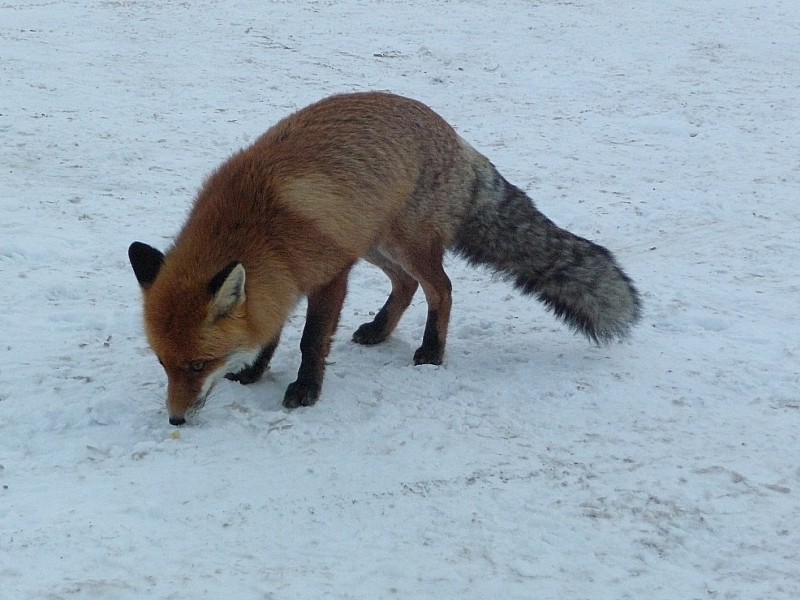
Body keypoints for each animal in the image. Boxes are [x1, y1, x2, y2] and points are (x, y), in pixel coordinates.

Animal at [131, 91, 644, 424]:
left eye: (197, 366)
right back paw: (380, 331)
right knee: (407, 285)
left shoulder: (330, 274)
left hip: (403, 243)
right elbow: (268, 331)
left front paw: (305, 389)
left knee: (441, 288)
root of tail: (459, 141)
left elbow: (310, 341)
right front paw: (255, 370)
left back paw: (432, 351)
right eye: (165, 365)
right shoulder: (280, 281)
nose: (175, 420)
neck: (259, 227)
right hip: (375, 243)